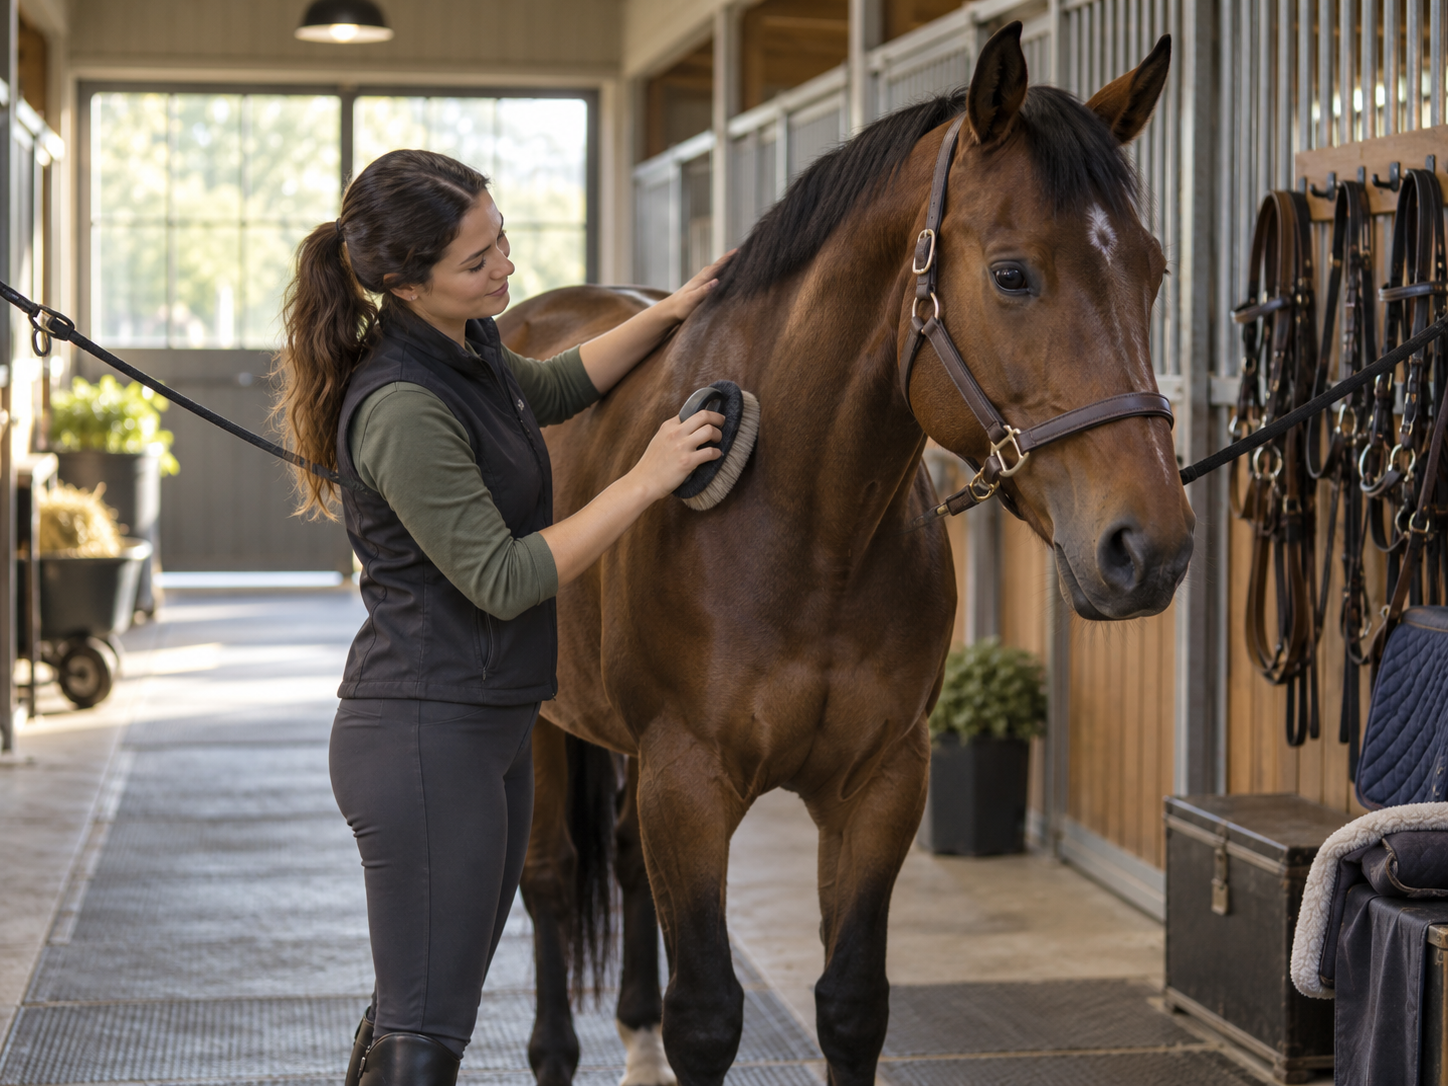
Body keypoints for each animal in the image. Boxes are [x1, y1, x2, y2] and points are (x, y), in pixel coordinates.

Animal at [497, 23, 1189, 1086]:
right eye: (1013, 274)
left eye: (1154, 272)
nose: (1148, 547)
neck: (806, 530)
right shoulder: (690, 785)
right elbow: (708, 1014)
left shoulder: (879, 785)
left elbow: (852, 1004)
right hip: (544, 726)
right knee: (551, 879)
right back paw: (556, 1049)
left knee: (620, 866)